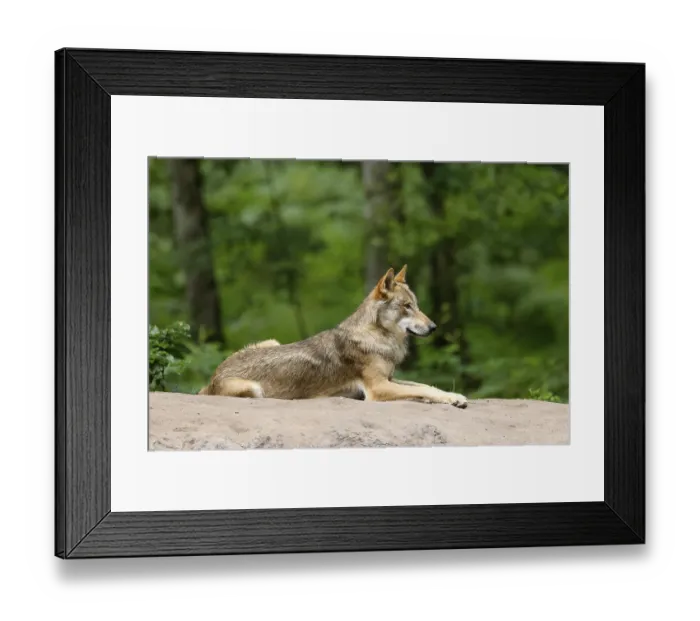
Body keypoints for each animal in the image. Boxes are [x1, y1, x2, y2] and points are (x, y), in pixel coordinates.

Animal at [198, 265, 468, 408]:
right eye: (406, 306)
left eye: (417, 305)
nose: (433, 327)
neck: (377, 337)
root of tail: (212, 378)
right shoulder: (378, 388)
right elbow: (424, 390)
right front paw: (449, 398)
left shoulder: (390, 379)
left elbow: (426, 386)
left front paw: (453, 397)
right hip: (254, 390)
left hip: (272, 342)